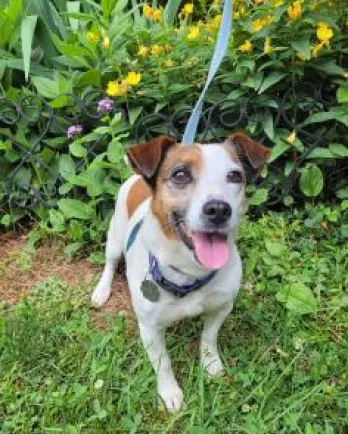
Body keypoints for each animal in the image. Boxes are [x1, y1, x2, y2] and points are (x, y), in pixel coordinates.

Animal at [91, 133, 270, 414]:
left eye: (234, 176)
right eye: (180, 174)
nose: (219, 209)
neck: (190, 273)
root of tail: (138, 179)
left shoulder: (222, 307)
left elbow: (209, 337)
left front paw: (210, 364)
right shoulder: (150, 329)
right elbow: (163, 364)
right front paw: (169, 393)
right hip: (115, 237)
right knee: (109, 263)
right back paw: (101, 290)